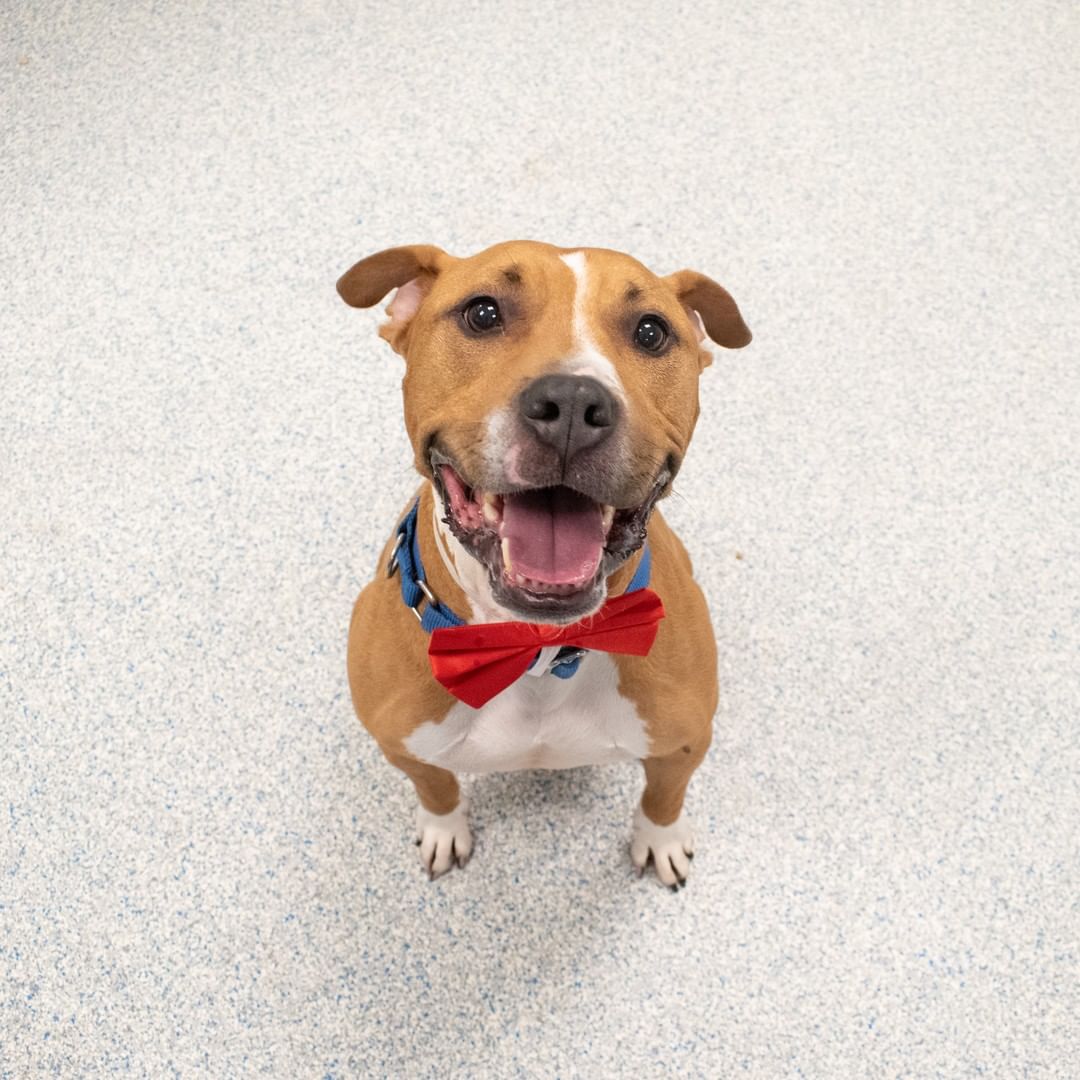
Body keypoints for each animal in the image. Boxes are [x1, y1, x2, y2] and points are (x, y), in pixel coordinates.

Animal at [336, 243, 751, 885]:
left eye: (651, 331)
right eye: (482, 313)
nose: (574, 403)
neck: (534, 651)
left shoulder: (684, 741)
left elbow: (664, 796)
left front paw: (660, 839)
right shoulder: (401, 743)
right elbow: (436, 787)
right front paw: (444, 829)